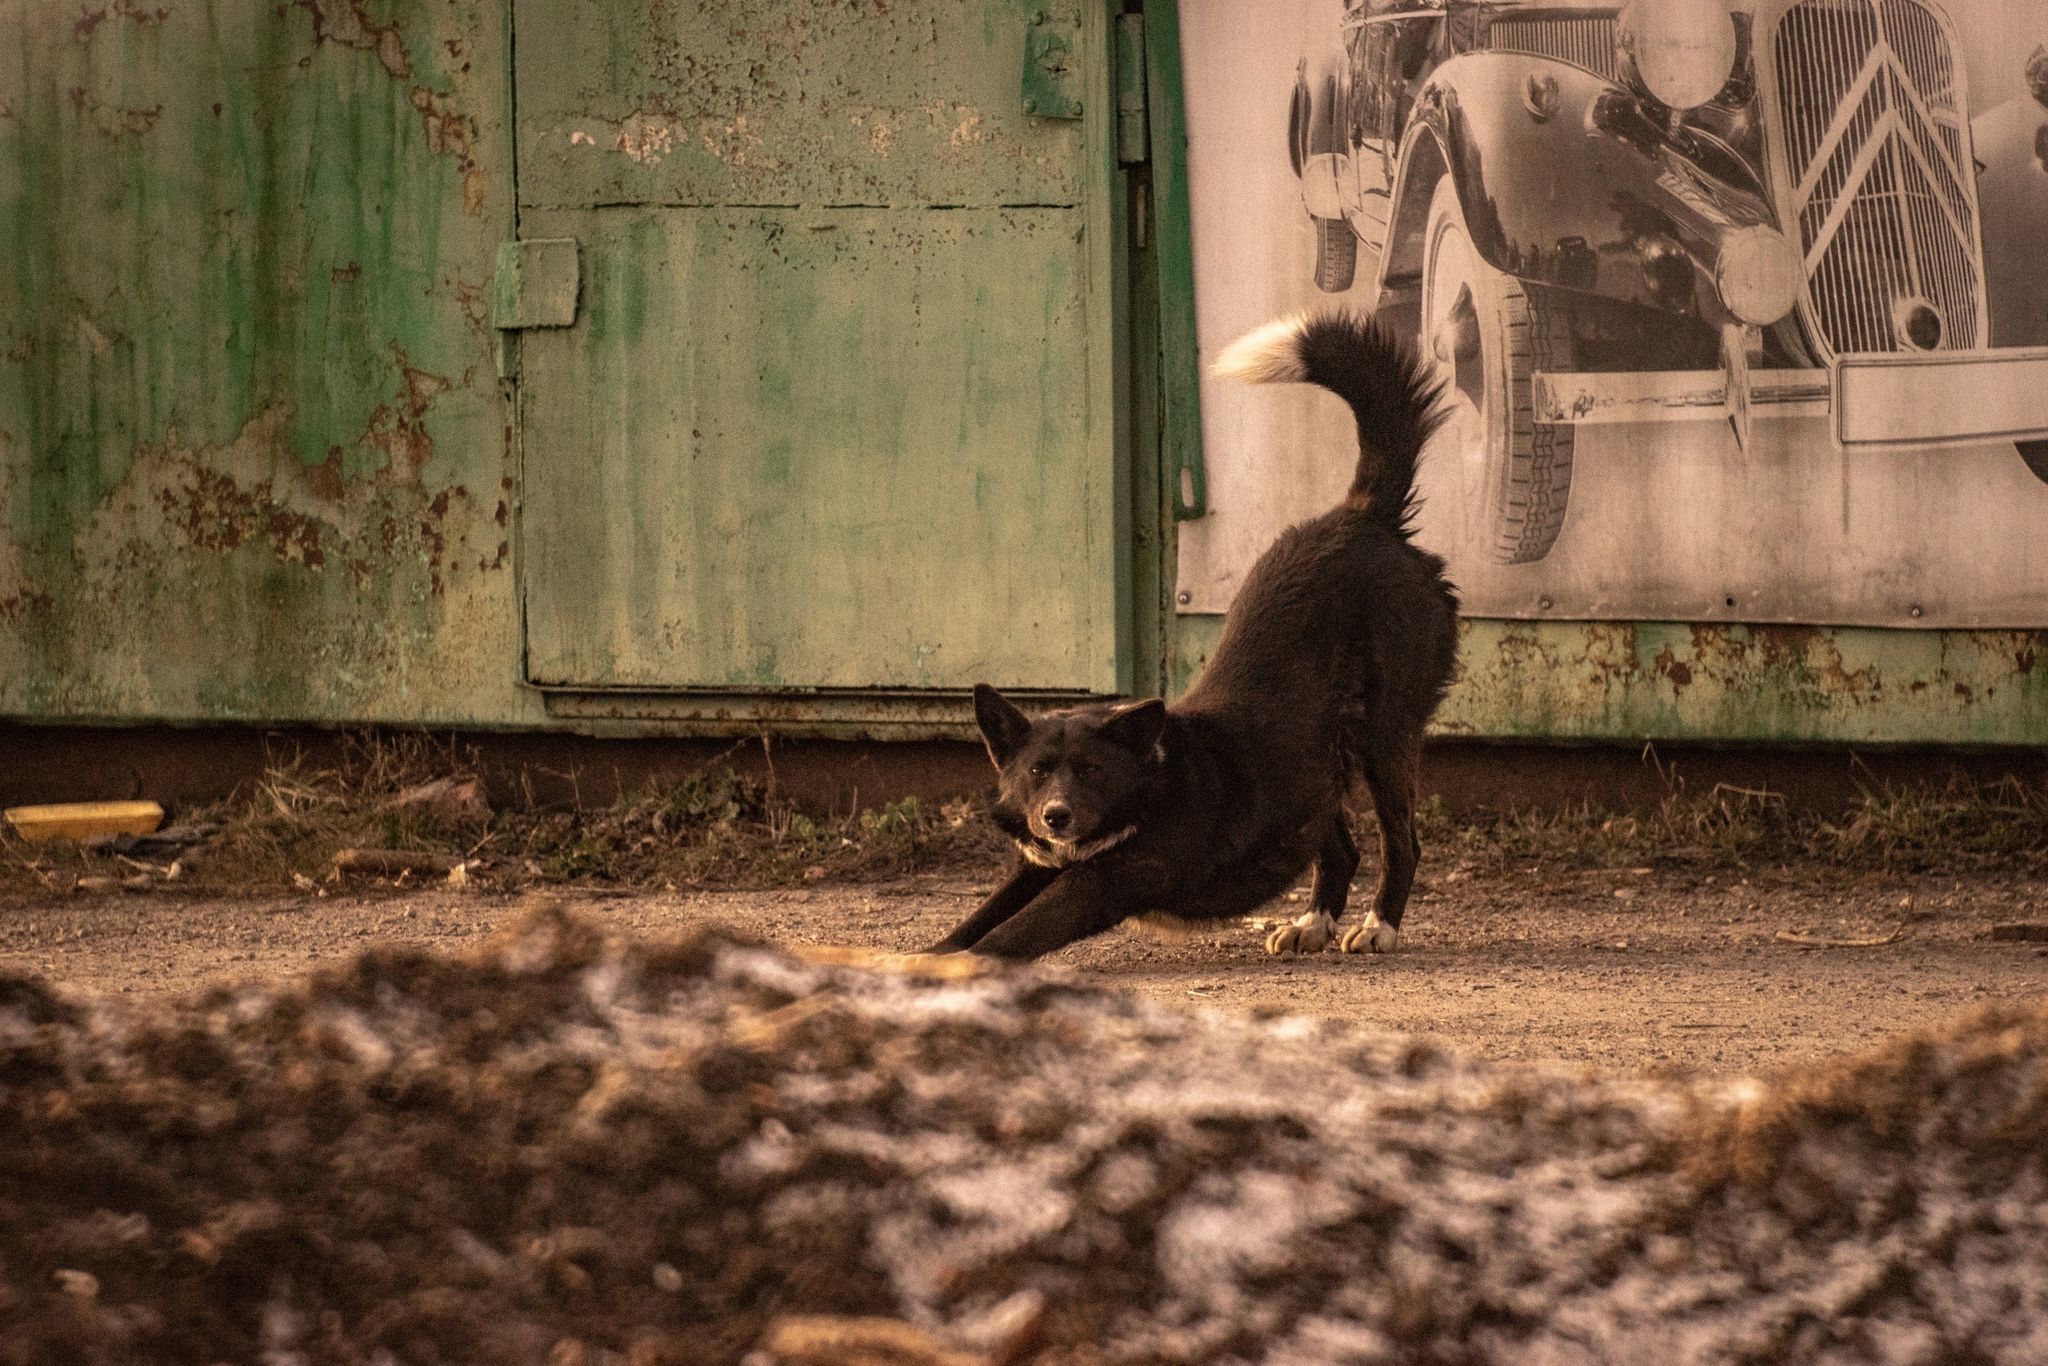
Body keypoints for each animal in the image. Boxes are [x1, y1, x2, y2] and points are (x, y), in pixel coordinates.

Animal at [929, 315, 1458, 966]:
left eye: (1092, 770)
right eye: (1036, 771)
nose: (1056, 817)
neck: (1151, 783)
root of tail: (1361, 516)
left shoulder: (1100, 885)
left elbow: (1007, 936)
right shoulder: (1037, 868)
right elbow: (978, 920)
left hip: (1385, 736)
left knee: (1401, 841)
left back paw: (1379, 925)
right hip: (1310, 766)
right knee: (1339, 847)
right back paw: (1311, 923)